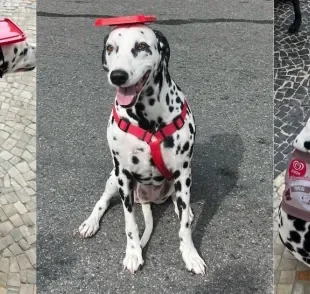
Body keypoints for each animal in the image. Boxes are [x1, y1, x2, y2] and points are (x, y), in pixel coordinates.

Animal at [78, 24, 207, 274]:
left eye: (142, 46)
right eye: (111, 48)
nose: (117, 75)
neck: (149, 121)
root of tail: (149, 199)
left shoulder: (183, 172)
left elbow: (185, 226)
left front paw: (190, 254)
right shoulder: (124, 175)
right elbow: (130, 224)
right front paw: (133, 253)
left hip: (181, 181)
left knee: (179, 204)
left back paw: (183, 209)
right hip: (113, 178)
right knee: (102, 201)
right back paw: (91, 222)